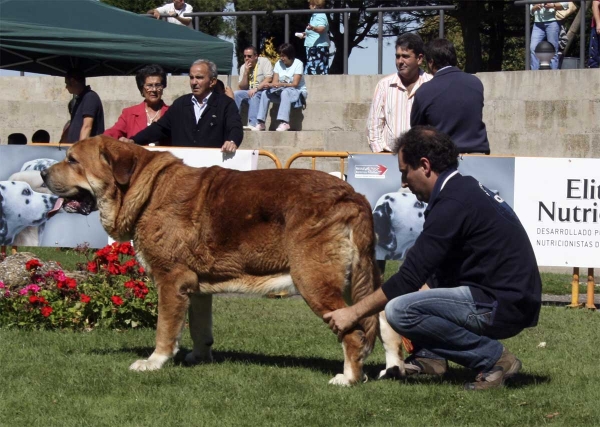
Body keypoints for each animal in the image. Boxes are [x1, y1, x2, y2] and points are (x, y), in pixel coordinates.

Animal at [42, 137, 406, 388]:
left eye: (72, 160)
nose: (43, 171)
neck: (145, 190)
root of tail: (353, 195)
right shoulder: (195, 287)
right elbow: (200, 327)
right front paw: (199, 357)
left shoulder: (171, 280)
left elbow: (165, 328)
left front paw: (154, 362)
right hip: (355, 279)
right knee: (381, 320)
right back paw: (393, 368)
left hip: (314, 282)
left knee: (353, 331)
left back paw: (349, 378)